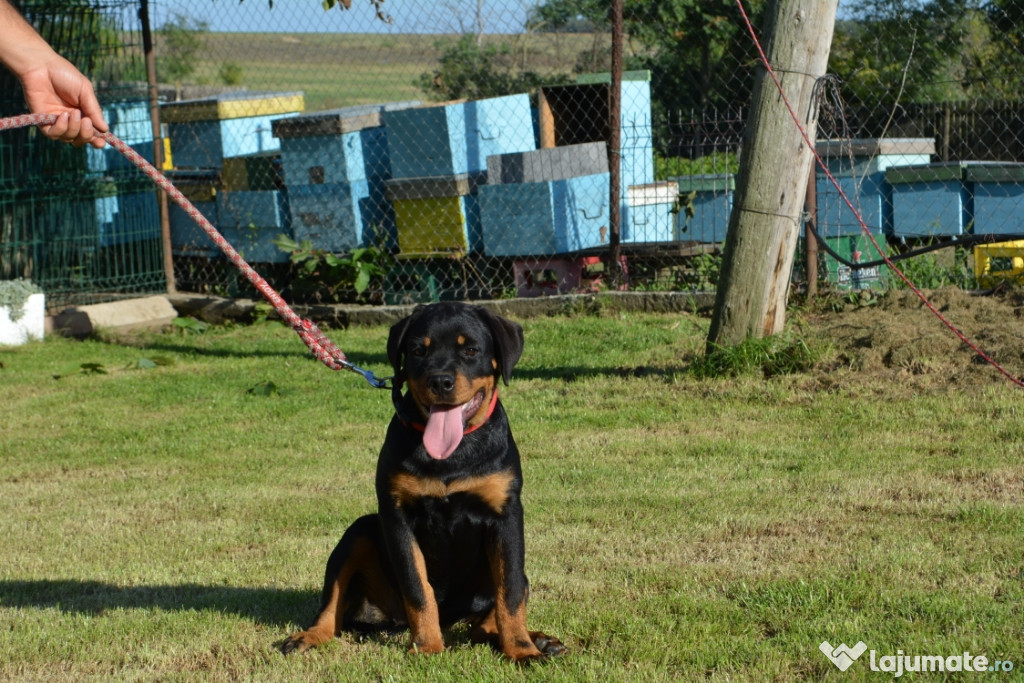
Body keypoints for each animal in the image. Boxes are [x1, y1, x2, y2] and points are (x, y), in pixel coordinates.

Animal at [282, 301, 569, 663]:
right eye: (419, 350)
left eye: (470, 350)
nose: (441, 381)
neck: (452, 453)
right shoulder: (397, 517)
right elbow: (418, 589)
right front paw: (429, 646)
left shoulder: (505, 515)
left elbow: (511, 592)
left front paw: (521, 649)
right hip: (359, 531)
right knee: (331, 607)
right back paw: (309, 636)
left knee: (482, 625)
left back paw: (541, 641)